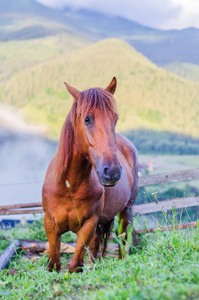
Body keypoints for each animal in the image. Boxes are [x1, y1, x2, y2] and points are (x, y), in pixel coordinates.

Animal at [42, 77, 138, 272]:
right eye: (87, 119)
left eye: (115, 119)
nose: (112, 172)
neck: (69, 186)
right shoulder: (50, 224)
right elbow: (54, 263)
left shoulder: (88, 225)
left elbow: (74, 265)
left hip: (125, 210)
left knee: (121, 238)